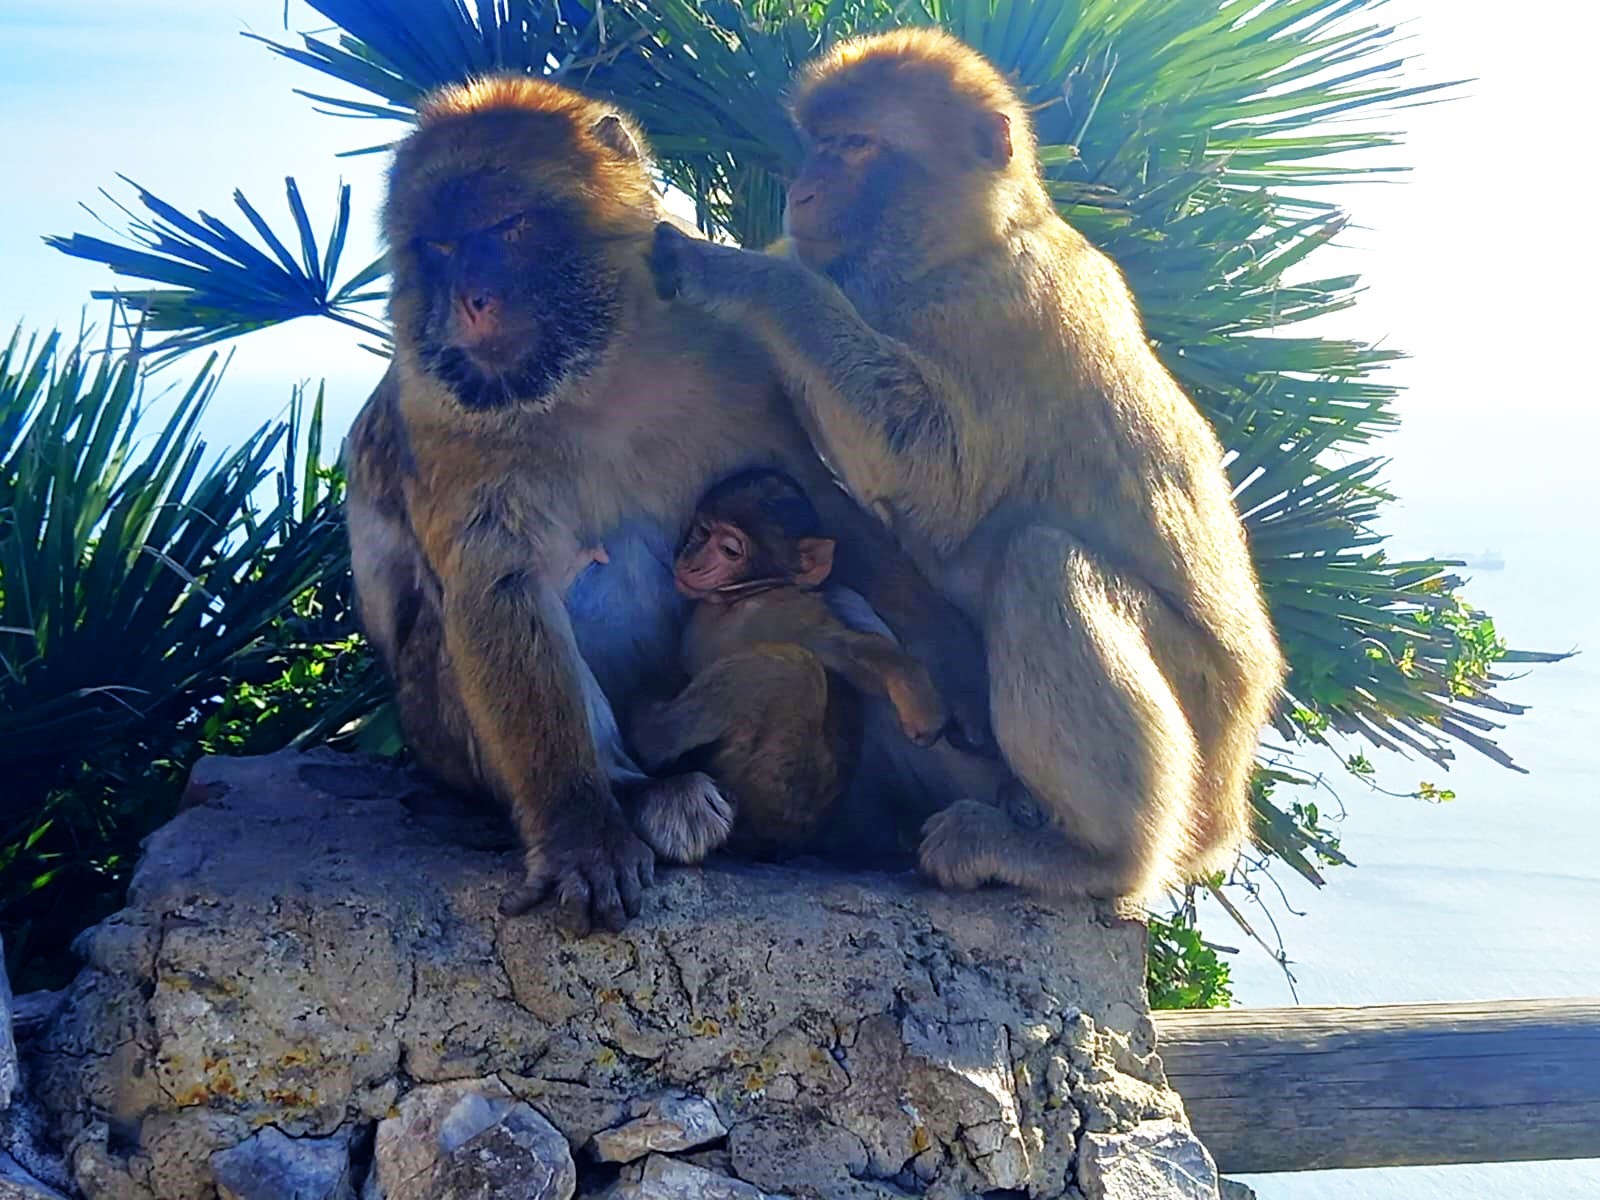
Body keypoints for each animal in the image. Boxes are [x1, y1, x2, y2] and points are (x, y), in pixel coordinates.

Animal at [629, 468, 949, 858]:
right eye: (703, 531)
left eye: (729, 549)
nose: (693, 559)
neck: (740, 599)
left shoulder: (784, 612)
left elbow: (842, 650)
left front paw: (917, 698)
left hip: (774, 787)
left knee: (794, 670)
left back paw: (651, 736)